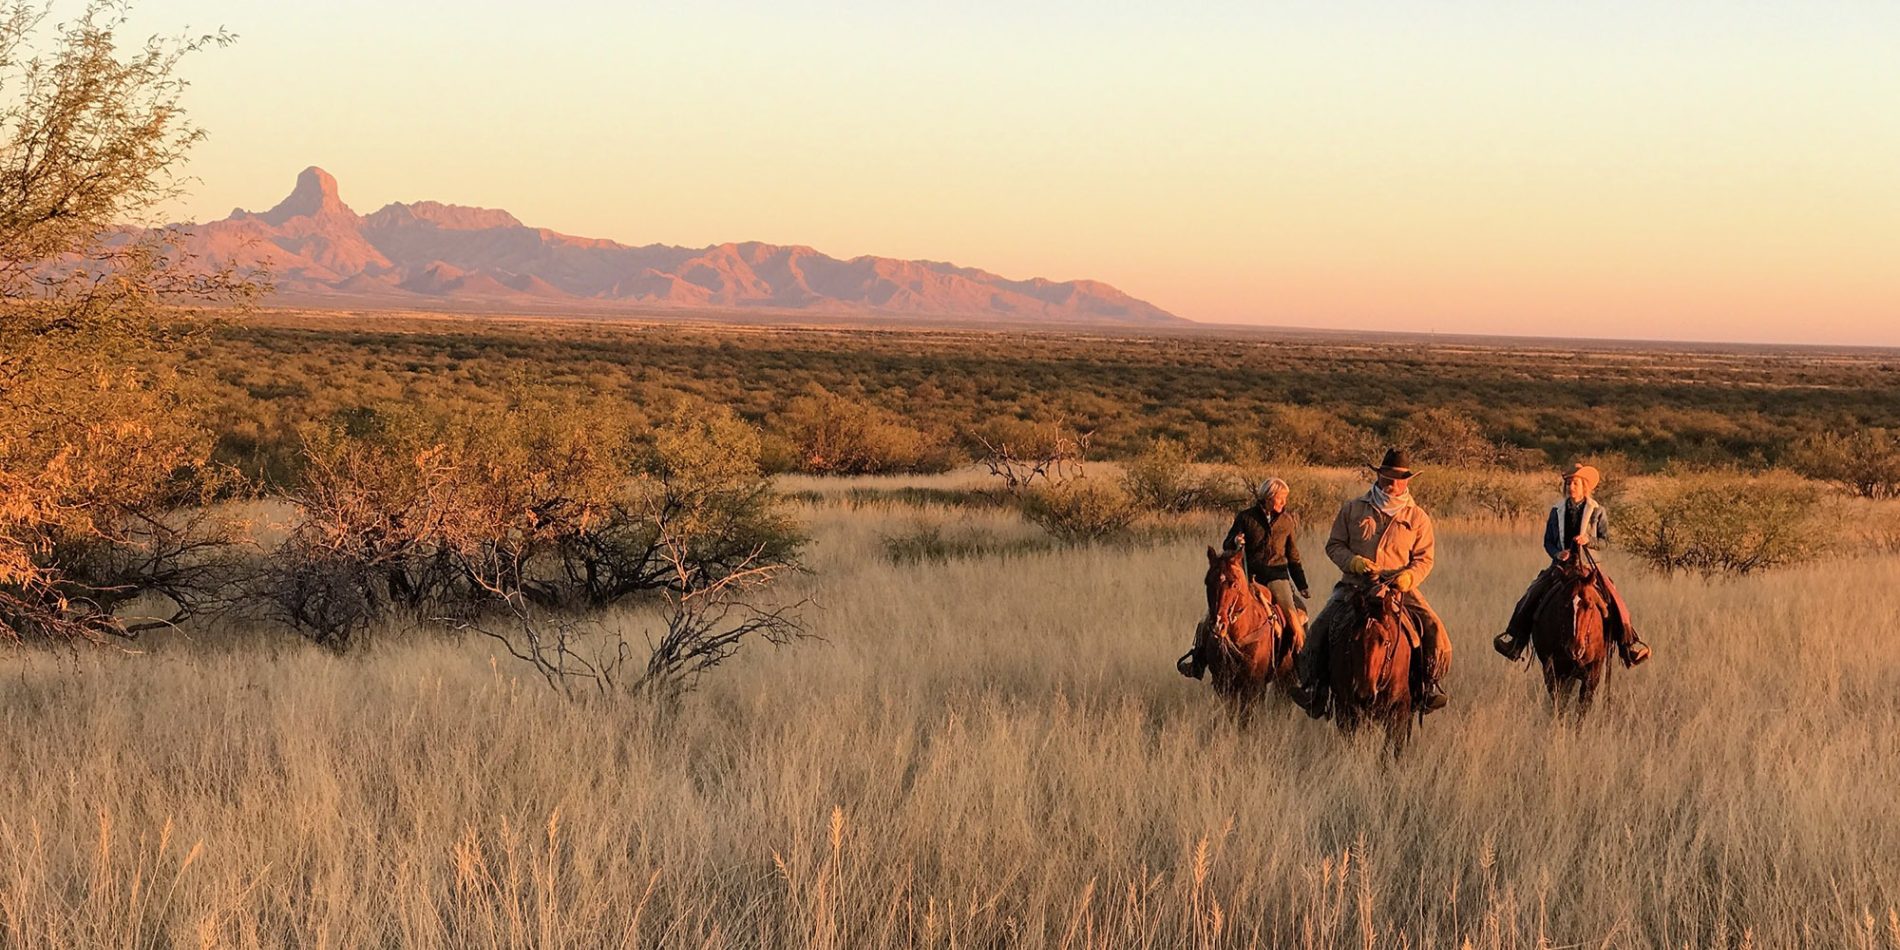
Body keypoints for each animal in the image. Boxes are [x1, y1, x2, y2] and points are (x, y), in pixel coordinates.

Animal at [1193, 543, 1299, 718]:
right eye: (1207, 582)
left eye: (1235, 584)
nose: (1218, 625)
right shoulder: (1223, 683)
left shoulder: (1254, 683)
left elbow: (1248, 713)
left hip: (1287, 676)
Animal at [1330, 573, 1421, 752]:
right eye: (1352, 639)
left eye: (1385, 642)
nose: (1364, 694)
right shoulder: (1345, 708)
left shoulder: (1400, 709)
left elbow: (1391, 748)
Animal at [1527, 554, 1618, 714]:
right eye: (1563, 605)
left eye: (1589, 605)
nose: (1575, 649)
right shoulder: (1553, 670)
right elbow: (1559, 702)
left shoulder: (1593, 672)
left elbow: (1583, 706)